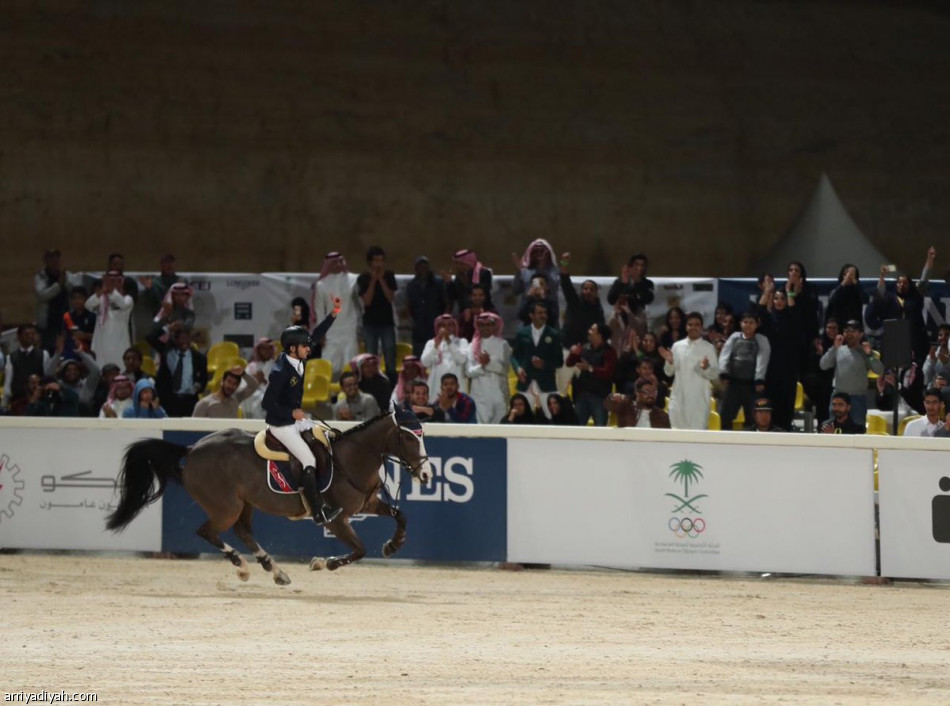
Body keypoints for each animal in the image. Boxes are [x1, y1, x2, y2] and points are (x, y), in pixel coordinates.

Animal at [106, 408, 434, 584]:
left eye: (422, 435)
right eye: (407, 437)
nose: (426, 475)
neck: (351, 459)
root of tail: (192, 449)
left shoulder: (367, 503)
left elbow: (400, 516)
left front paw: (393, 545)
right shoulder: (336, 520)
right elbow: (360, 549)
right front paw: (323, 563)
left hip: (245, 503)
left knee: (243, 531)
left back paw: (275, 570)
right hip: (226, 506)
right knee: (207, 531)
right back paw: (242, 566)